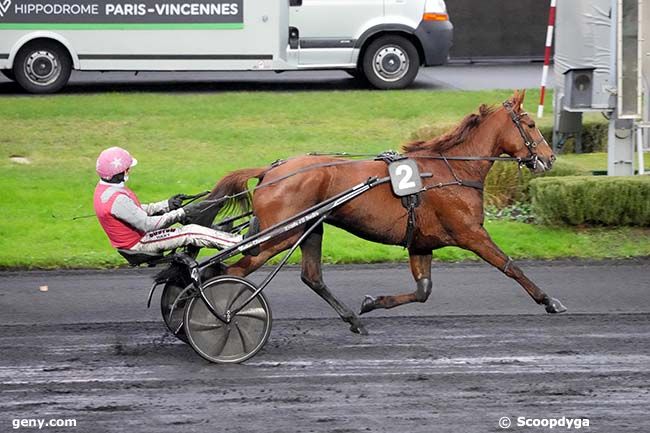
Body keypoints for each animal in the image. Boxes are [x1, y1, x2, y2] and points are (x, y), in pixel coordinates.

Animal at [206, 90, 560, 334]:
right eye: (530, 124)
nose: (550, 157)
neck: (453, 169)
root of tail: (271, 169)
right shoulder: (470, 233)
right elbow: (510, 266)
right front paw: (548, 300)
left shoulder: (421, 243)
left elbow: (423, 291)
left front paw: (372, 303)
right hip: (280, 235)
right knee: (232, 271)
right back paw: (223, 316)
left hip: (309, 229)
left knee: (311, 277)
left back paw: (352, 319)